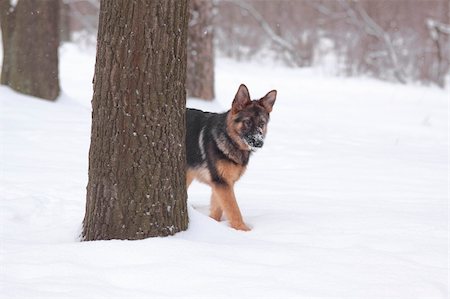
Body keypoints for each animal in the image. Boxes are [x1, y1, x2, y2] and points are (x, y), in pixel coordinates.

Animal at [185, 84, 276, 232]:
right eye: (247, 122)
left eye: (262, 124)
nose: (259, 142)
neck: (229, 138)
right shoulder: (222, 183)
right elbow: (234, 209)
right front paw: (244, 231)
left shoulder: (223, 184)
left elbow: (218, 209)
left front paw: (214, 225)